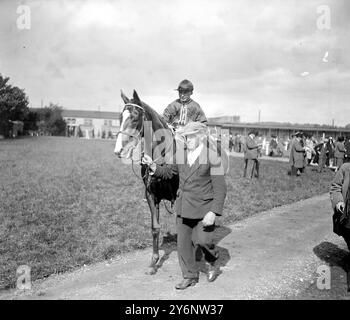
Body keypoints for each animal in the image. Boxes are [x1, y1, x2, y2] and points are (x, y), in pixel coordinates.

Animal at [115, 89, 179, 276]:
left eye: (135, 118)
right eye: (120, 117)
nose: (118, 150)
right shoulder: (151, 195)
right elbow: (155, 228)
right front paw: (153, 262)